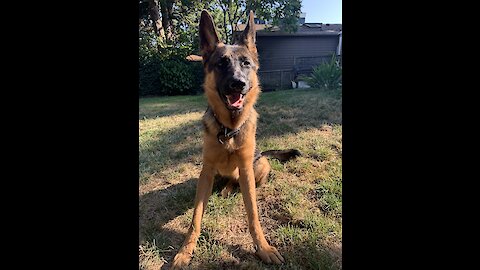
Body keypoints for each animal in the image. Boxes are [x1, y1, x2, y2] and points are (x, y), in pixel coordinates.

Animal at [172, 10, 300, 268]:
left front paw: (263, 248)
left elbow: (253, 215)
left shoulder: (246, 168)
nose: (238, 84)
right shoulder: (206, 171)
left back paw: (231, 188)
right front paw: (185, 250)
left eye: (246, 63)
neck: (229, 130)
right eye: (221, 64)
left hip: (259, 164)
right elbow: (195, 218)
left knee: (244, 180)